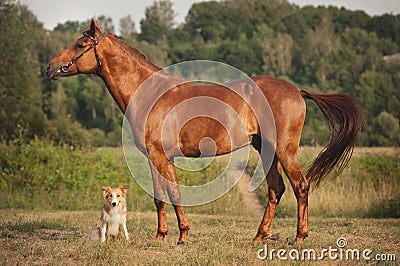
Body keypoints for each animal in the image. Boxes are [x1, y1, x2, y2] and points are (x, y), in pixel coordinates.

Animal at [46, 18, 362, 243]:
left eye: (79, 45)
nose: (49, 67)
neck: (150, 93)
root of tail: (296, 90)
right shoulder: (164, 157)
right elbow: (167, 193)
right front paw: (173, 235)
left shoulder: (157, 155)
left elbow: (164, 194)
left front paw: (171, 236)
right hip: (267, 150)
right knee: (276, 189)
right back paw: (259, 237)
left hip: (284, 150)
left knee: (300, 187)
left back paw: (298, 238)